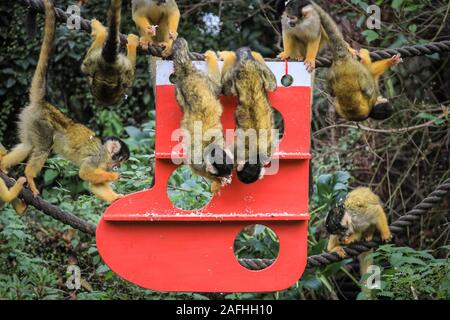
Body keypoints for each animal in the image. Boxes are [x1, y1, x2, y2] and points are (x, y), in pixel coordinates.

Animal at [0, 0, 130, 204]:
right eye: (118, 160)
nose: (116, 167)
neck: (105, 152)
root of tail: (43, 103)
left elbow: (94, 185)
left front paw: (117, 198)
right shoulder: (98, 157)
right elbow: (85, 173)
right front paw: (113, 177)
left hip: (29, 118)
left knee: (28, 144)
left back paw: (4, 165)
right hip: (42, 122)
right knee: (44, 146)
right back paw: (29, 176)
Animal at [172, 37, 234, 192]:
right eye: (221, 174)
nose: (228, 175)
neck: (211, 147)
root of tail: (188, 74)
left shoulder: (221, 143)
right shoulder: (198, 161)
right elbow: (196, 169)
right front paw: (217, 181)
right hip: (203, 80)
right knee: (218, 88)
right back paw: (211, 57)